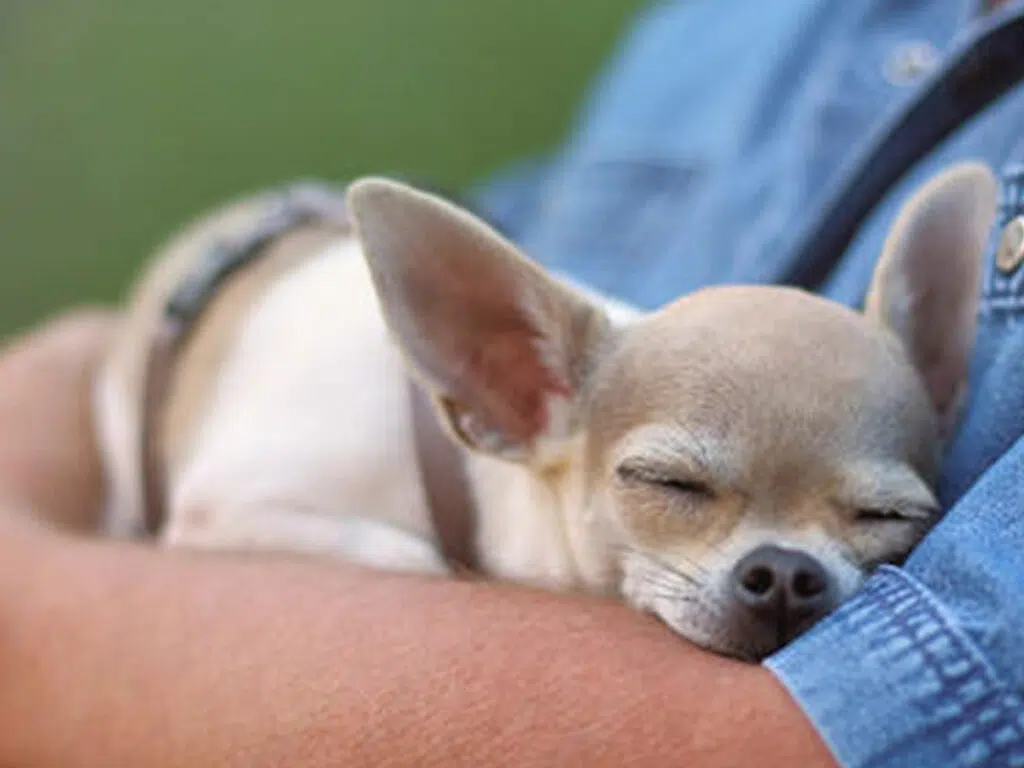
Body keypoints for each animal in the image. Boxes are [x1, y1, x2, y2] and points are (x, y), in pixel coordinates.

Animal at [94, 162, 991, 663]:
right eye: (666, 483)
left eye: (888, 516)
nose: (785, 573)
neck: (458, 464)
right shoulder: (226, 510)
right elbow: (418, 558)